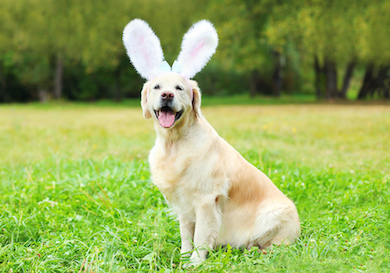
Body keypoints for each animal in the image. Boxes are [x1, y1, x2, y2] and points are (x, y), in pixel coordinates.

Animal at [123, 18, 300, 264]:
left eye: (179, 88)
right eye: (157, 87)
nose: (167, 95)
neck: (175, 143)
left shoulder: (206, 200)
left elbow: (201, 236)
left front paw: (195, 262)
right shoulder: (184, 203)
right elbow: (186, 235)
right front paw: (184, 256)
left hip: (273, 214)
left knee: (275, 246)